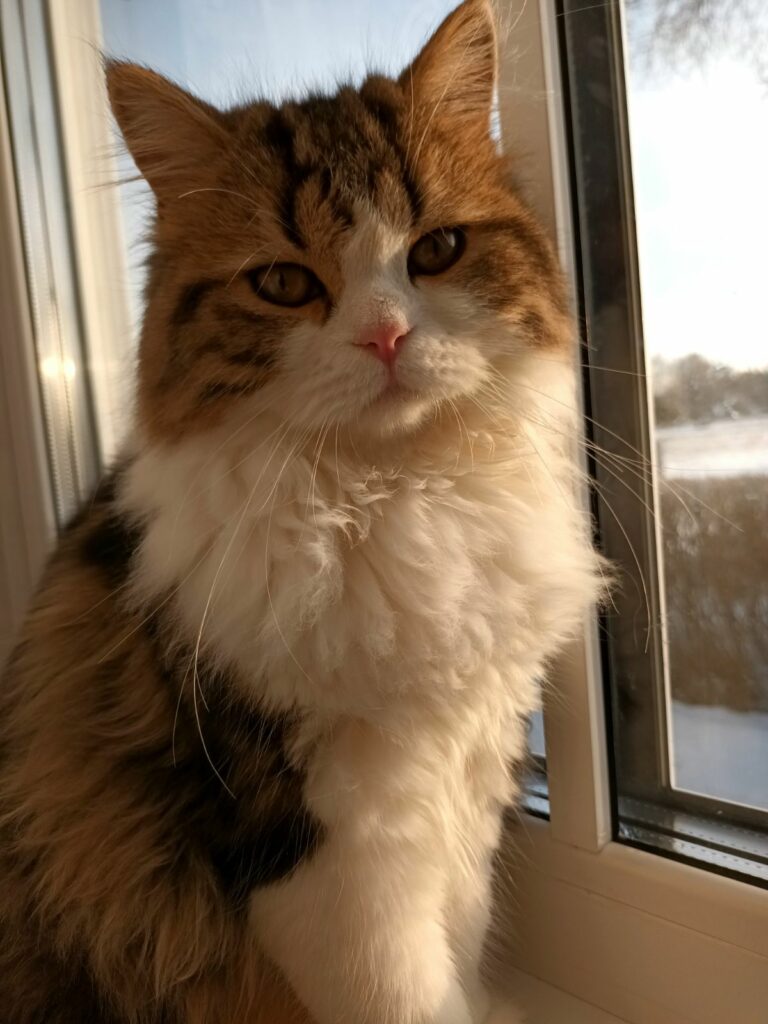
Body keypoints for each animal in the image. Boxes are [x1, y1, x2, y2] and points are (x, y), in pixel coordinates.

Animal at [0, 1, 602, 1021]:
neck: (393, 501)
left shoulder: (464, 786)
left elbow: (457, 952)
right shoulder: (326, 851)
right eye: (283, 283)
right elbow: (405, 993)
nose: (386, 336)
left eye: (436, 251)